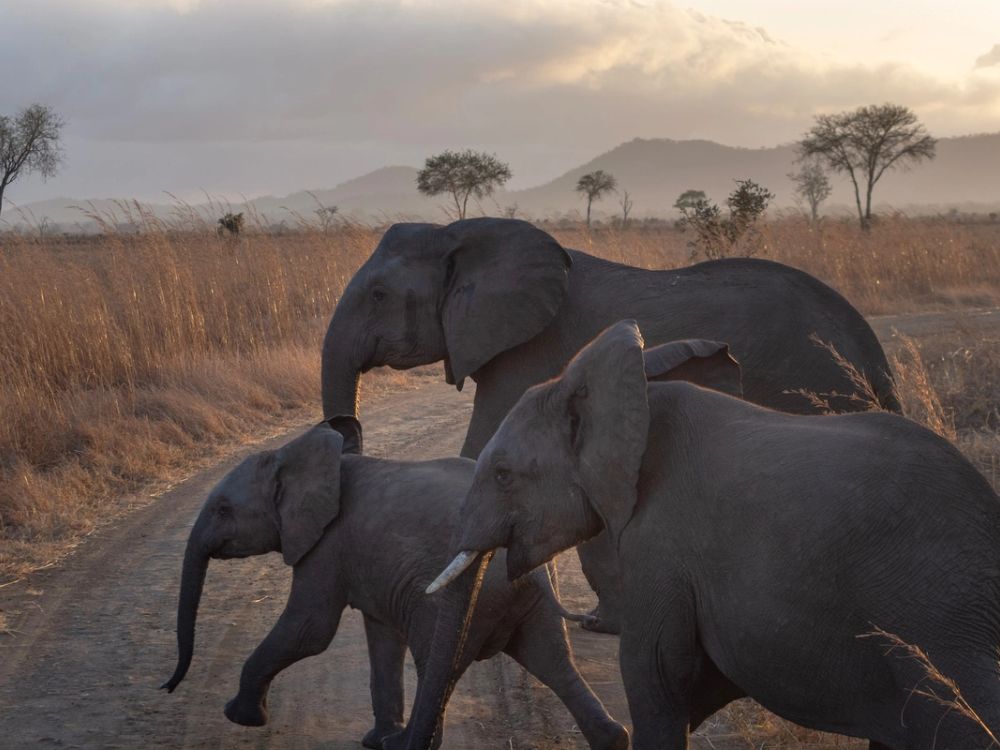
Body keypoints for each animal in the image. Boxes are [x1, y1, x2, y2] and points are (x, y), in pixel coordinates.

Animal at [161, 417, 627, 750]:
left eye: (223, 510)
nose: (167, 686)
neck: (295, 455)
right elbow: (381, 636)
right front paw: (374, 741)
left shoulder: (327, 545)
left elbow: (310, 629)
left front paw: (239, 716)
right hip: (530, 602)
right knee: (553, 660)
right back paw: (613, 739)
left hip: (453, 601)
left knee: (439, 662)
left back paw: (406, 745)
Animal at [320, 216, 901, 633]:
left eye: (378, 295)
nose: (346, 430)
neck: (460, 232)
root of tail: (872, 352)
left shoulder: (529, 349)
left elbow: (480, 446)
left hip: (812, 384)